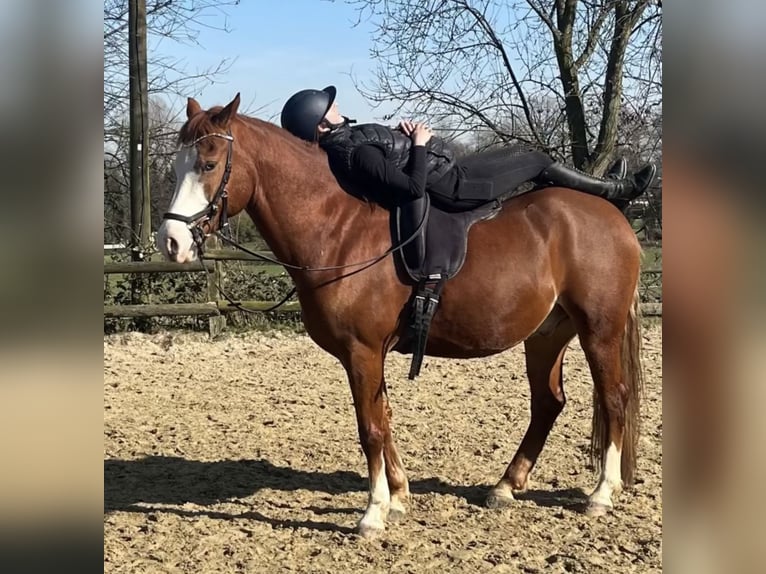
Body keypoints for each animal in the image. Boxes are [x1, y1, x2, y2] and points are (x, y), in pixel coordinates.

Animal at [156, 93, 645, 537]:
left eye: (209, 164)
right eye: (178, 166)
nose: (171, 241)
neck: (338, 230)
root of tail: (613, 217)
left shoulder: (362, 352)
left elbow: (370, 428)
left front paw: (372, 515)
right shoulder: (368, 355)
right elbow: (383, 419)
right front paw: (397, 496)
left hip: (599, 329)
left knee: (613, 397)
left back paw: (601, 493)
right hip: (547, 335)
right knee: (548, 402)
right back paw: (507, 486)